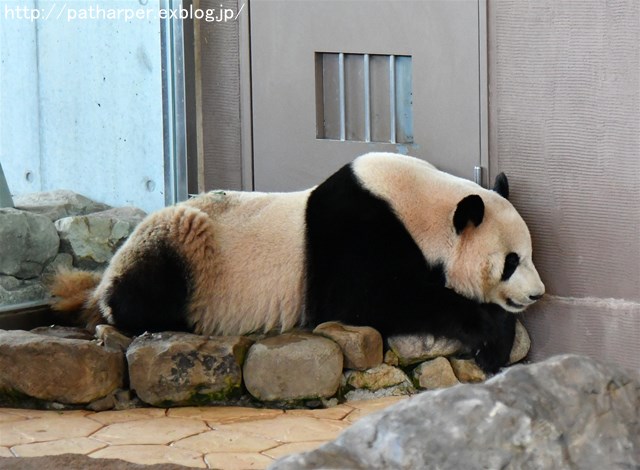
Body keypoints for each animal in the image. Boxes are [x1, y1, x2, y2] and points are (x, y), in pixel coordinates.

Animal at [55, 152, 544, 372]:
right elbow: (370, 300)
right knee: (146, 288)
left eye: (531, 255)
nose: (538, 294)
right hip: (185, 243)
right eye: (510, 261)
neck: (418, 207)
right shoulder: (360, 235)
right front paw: (493, 339)